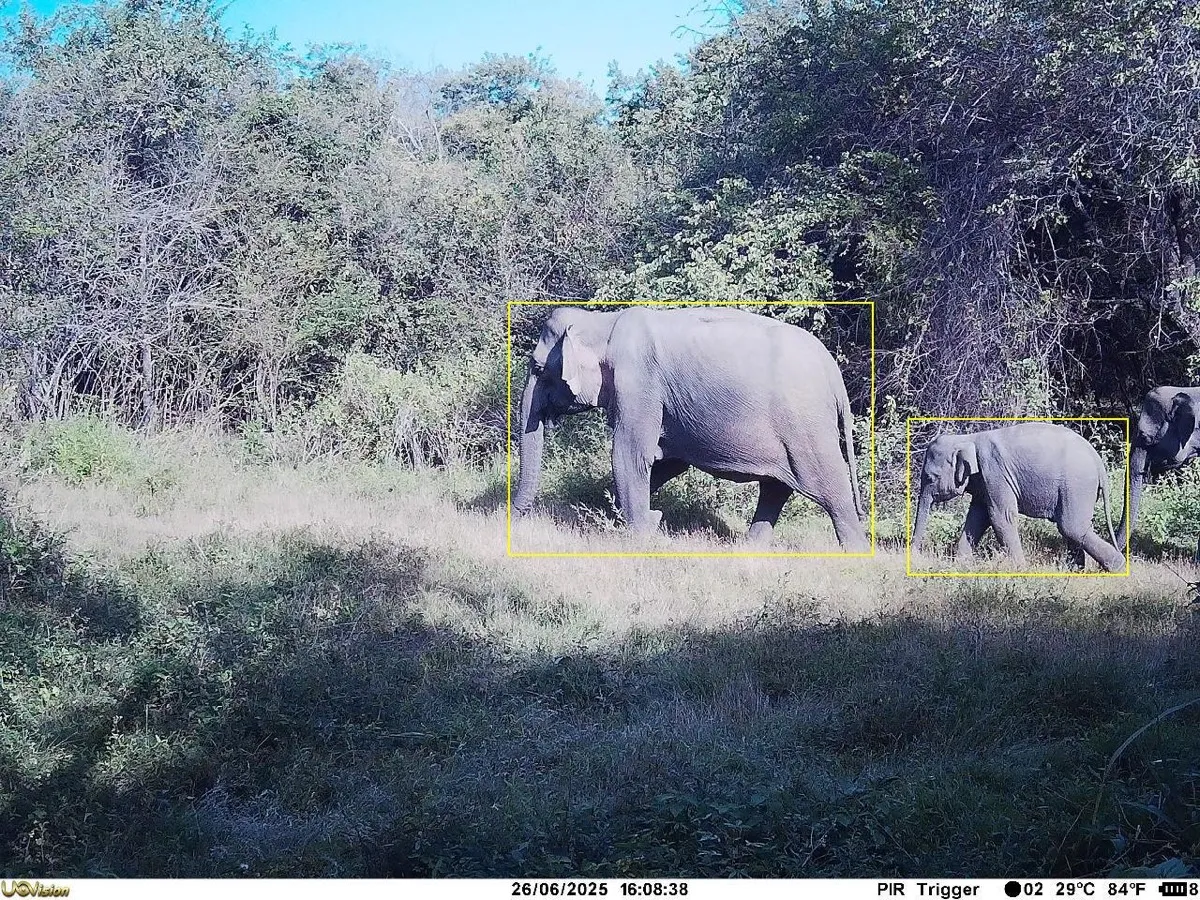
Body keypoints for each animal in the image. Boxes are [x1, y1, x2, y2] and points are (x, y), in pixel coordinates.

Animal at [512, 305, 870, 550]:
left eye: (537, 368)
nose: (514, 520)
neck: (602, 321)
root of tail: (834, 374)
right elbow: (668, 462)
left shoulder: (639, 384)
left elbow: (630, 456)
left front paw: (640, 535)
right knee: (775, 488)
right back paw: (748, 549)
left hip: (806, 427)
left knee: (831, 488)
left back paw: (855, 556)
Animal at [911, 422, 1125, 572]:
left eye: (930, 477)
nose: (914, 557)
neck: (968, 439)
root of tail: (1098, 461)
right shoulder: (983, 482)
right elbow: (977, 518)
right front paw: (961, 564)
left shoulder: (995, 473)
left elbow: (1000, 517)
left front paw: (1020, 568)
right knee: (1075, 528)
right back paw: (1074, 571)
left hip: (1076, 485)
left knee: (1071, 526)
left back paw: (1117, 567)